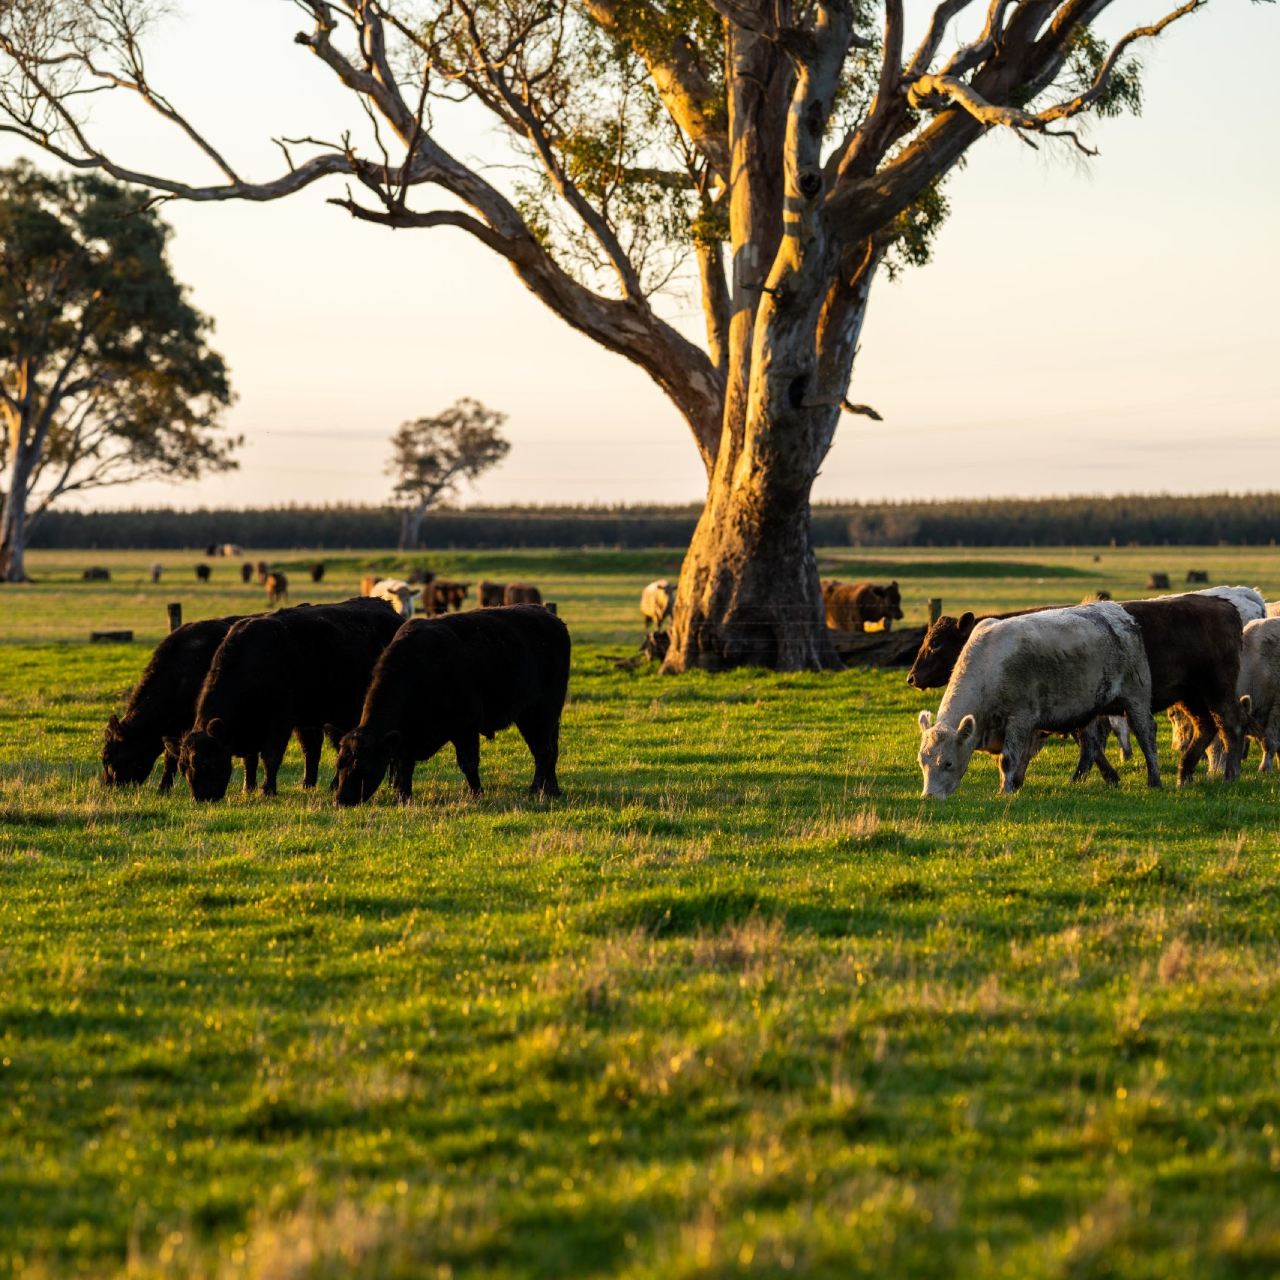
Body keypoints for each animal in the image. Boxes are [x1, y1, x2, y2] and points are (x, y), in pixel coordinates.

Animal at [170, 591, 399, 793]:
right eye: (183, 768)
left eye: (206, 764)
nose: (201, 798)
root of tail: (386, 606)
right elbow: (258, 757)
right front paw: (251, 787)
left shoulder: (282, 719)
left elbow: (271, 757)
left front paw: (268, 790)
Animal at [330, 604, 570, 803]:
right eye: (339, 765)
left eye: (363, 767)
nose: (341, 800)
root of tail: (550, 617)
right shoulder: (405, 738)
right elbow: (404, 766)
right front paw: (404, 797)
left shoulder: (466, 726)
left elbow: (468, 763)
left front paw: (476, 794)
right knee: (550, 750)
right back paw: (552, 789)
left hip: (542, 711)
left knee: (543, 751)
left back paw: (536, 789)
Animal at [916, 601, 1167, 798]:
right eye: (922, 761)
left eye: (948, 762)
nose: (929, 796)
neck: (988, 665)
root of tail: (1119, 612)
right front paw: (1014, 784)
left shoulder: (1020, 718)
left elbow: (1008, 759)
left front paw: (1005, 791)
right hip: (1087, 708)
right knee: (1090, 743)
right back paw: (1077, 781)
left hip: (1136, 696)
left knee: (1146, 734)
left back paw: (1154, 781)